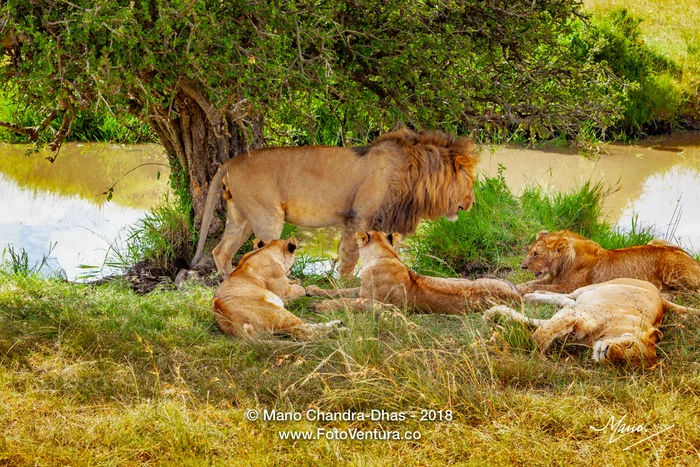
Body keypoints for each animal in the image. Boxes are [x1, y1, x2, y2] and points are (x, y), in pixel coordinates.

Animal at [190, 129, 479, 278]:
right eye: (471, 182)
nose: (472, 203)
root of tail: (231, 161)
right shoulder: (359, 216)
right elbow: (350, 255)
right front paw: (345, 282)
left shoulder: (385, 221)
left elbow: (386, 253)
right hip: (266, 217)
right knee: (261, 252)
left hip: (241, 217)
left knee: (221, 251)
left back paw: (229, 281)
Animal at [212, 238, 344, 339]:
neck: (265, 250)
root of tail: (234, 325)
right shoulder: (284, 293)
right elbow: (299, 289)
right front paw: (302, 287)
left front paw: (296, 280)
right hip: (280, 313)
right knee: (307, 334)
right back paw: (338, 332)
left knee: (306, 328)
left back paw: (338, 323)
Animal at [307, 231, 521, 313]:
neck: (384, 255)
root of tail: (515, 294)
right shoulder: (362, 290)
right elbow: (338, 291)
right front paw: (313, 290)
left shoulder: (380, 304)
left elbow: (346, 301)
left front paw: (320, 305)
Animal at [486, 278, 694, 365]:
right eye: (629, 345)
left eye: (623, 363)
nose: (608, 353)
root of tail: (660, 296)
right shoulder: (576, 313)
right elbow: (543, 331)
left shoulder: (572, 317)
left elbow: (538, 324)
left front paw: (496, 314)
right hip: (593, 287)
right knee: (566, 295)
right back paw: (532, 295)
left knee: (565, 299)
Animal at [518, 230, 700, 294]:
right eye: (530, 251)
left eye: (535, 254)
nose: (522, 266)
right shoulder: (552, 279)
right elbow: (532, 282)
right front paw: (519, 286)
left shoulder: (567, 287)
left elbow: (535, 287)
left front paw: (523, 290)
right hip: (655, 240)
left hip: (670, 263)